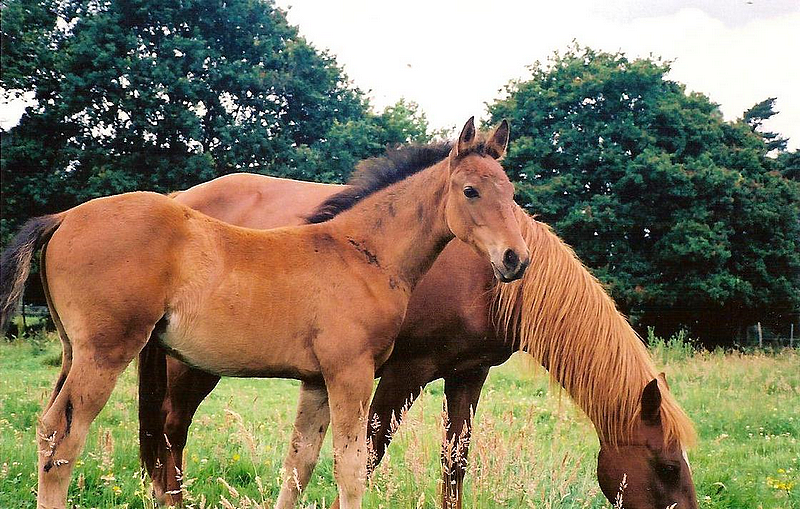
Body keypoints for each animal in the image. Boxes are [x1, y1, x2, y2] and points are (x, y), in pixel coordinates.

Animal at [1, 117, 532, 506]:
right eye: (470, 191)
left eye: (510, 193)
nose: (516, 259)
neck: (362, 253)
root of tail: (64, 217)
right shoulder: (351, 374)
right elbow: (351, 467)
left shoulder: (317, 381)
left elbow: (300, 463)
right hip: (105, 353)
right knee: (63, 438)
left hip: (74, 353)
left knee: (49, 433)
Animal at [145, 173, 700, 506]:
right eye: (669, 466)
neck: (483, 274)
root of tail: (179, 200)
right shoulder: (404, 372)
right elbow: (367, 457)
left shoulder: (468, 376)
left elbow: (455, 463)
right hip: (193, 363)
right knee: (172, 429)